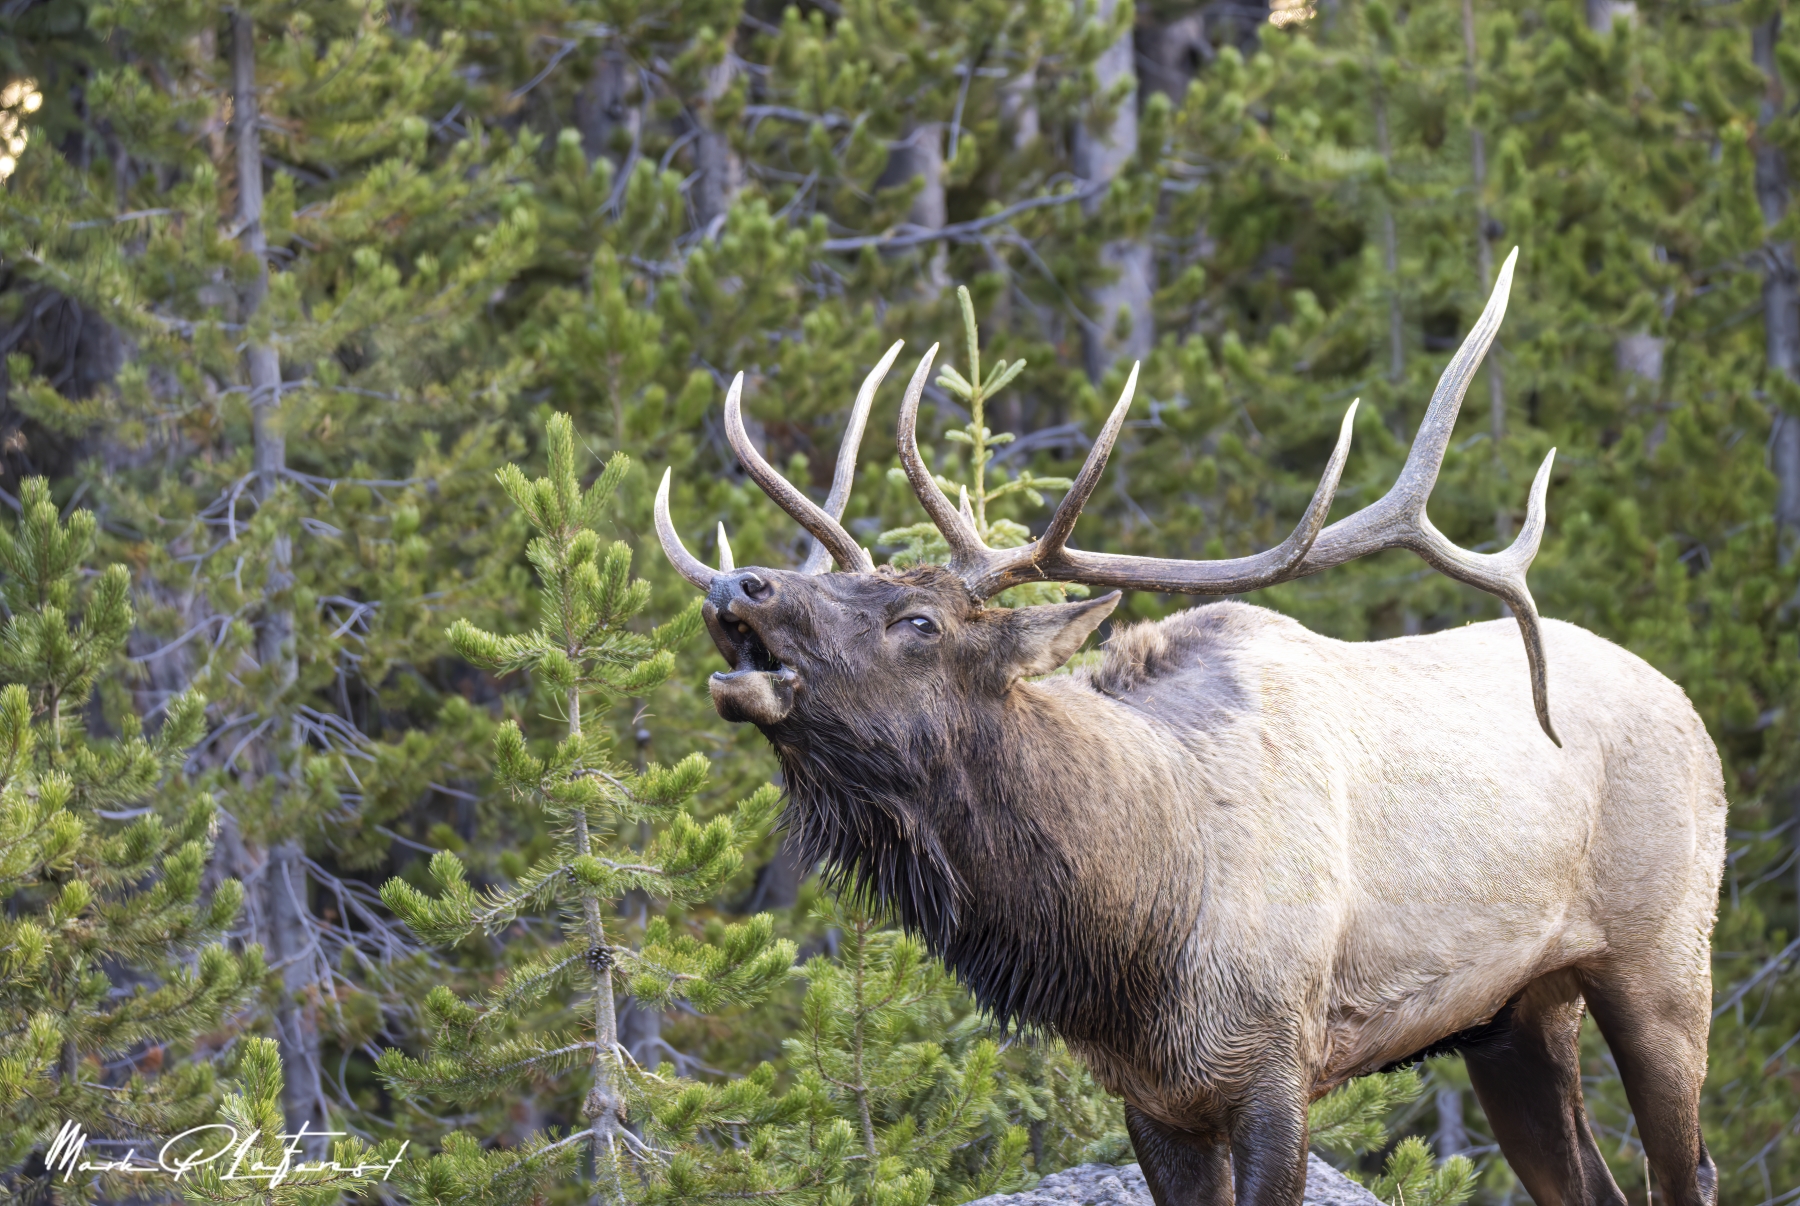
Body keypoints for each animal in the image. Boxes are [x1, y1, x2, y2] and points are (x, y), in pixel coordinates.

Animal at [655, 248, 1720, 1206]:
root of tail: (1688, 706)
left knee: (1686, 1171)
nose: (739, 582)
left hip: (1665, 959)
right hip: (1516, 1013)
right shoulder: (1153, 1099)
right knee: (1588, 1183)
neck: (1132, 929)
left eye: (918, 622)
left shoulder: (1277, 1065)